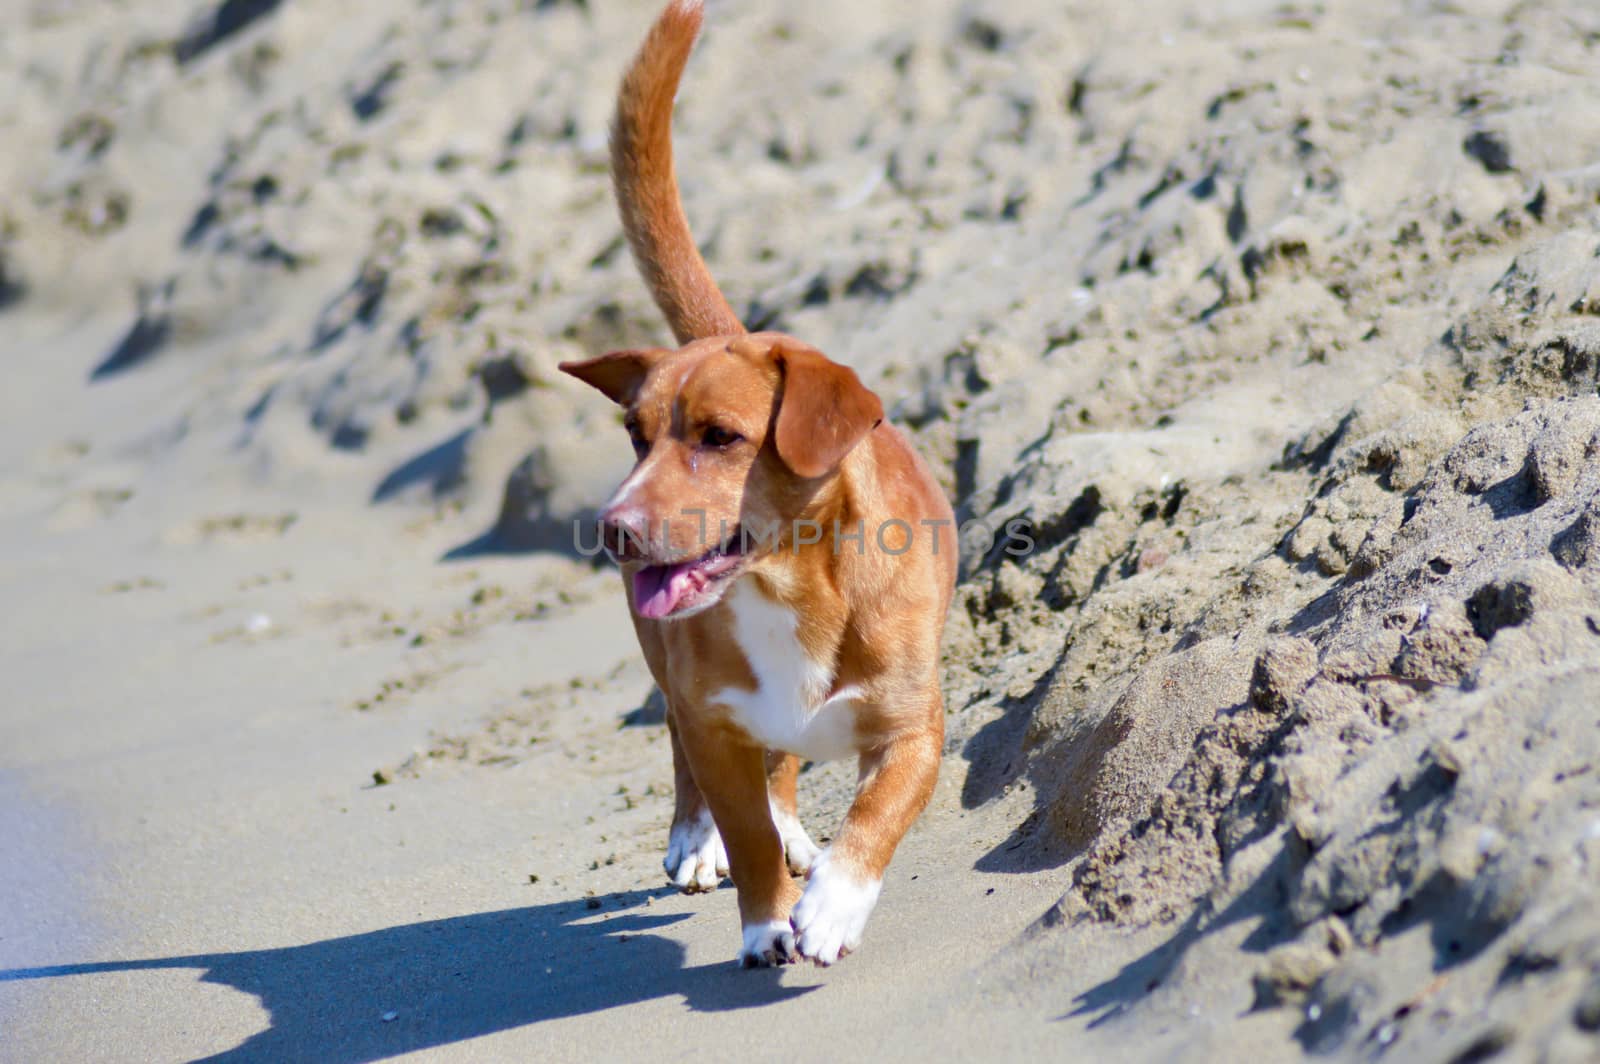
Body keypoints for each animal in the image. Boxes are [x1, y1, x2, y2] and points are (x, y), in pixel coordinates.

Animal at [563, 0, 953, 960]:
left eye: (719, 437)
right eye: (634, 437)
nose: (614, 529)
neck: (789, 591)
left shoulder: (914, 728)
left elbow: (878, 814)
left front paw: (835, 902)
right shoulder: (715, 725)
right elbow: (742, 828)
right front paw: (765, 918)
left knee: (783, 774)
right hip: (671, 670)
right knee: (690, 749)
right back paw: (697, 839)